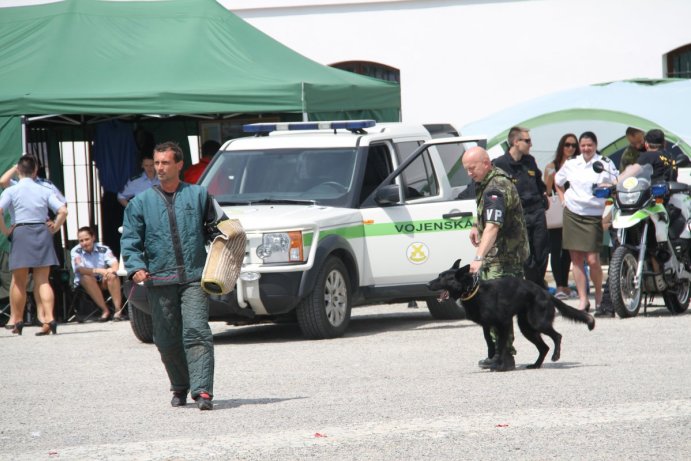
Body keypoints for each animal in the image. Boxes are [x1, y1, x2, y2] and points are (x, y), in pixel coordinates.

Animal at [428, 258, 596, 370]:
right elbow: (489, 341)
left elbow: (501, 345)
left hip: (537, 323)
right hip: (527, 328)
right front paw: (491, 357)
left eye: (443, 278)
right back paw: (536, 365)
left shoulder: (504, 324)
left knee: (557, 336)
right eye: (439, 275)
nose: (428, 284)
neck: (473, 291)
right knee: (544, 347)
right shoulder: (487, 325)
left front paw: (497, 364)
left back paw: (555, 356)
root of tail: (546, 293)